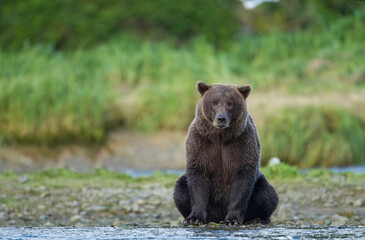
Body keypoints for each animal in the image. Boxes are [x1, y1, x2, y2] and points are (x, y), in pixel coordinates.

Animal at [172, 81, 278, 225]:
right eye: (214, 102)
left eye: (230, 103)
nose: (221, 118)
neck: (220, 137)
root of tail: (217, 217)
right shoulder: (201, 144)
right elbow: (197, 177)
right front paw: (194, 218)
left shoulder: (243, 144)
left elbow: (242, 179)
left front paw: (232, 219)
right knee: (180, 190)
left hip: (260, 182)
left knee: (267, 194)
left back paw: (257, 218)